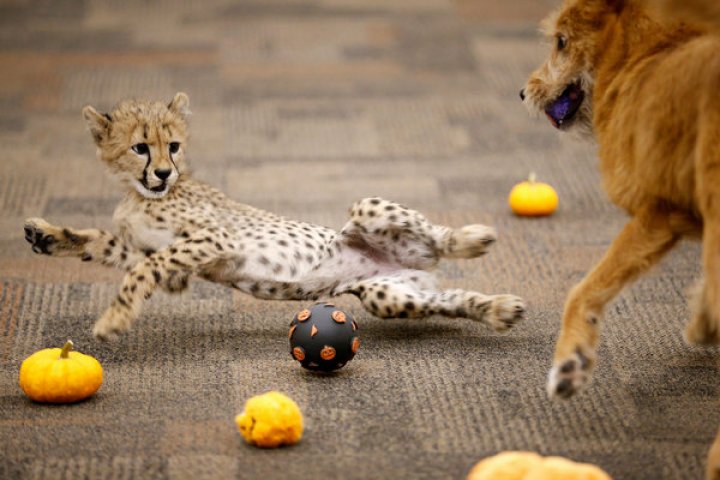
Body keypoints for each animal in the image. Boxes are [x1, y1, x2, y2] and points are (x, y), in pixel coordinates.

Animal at [520, 0, 720, 402]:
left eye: (561, 41)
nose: (523, 92)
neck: (643, 55)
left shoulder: (658, 213)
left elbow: (585, 289)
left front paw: (570, 361)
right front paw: (704, 326)